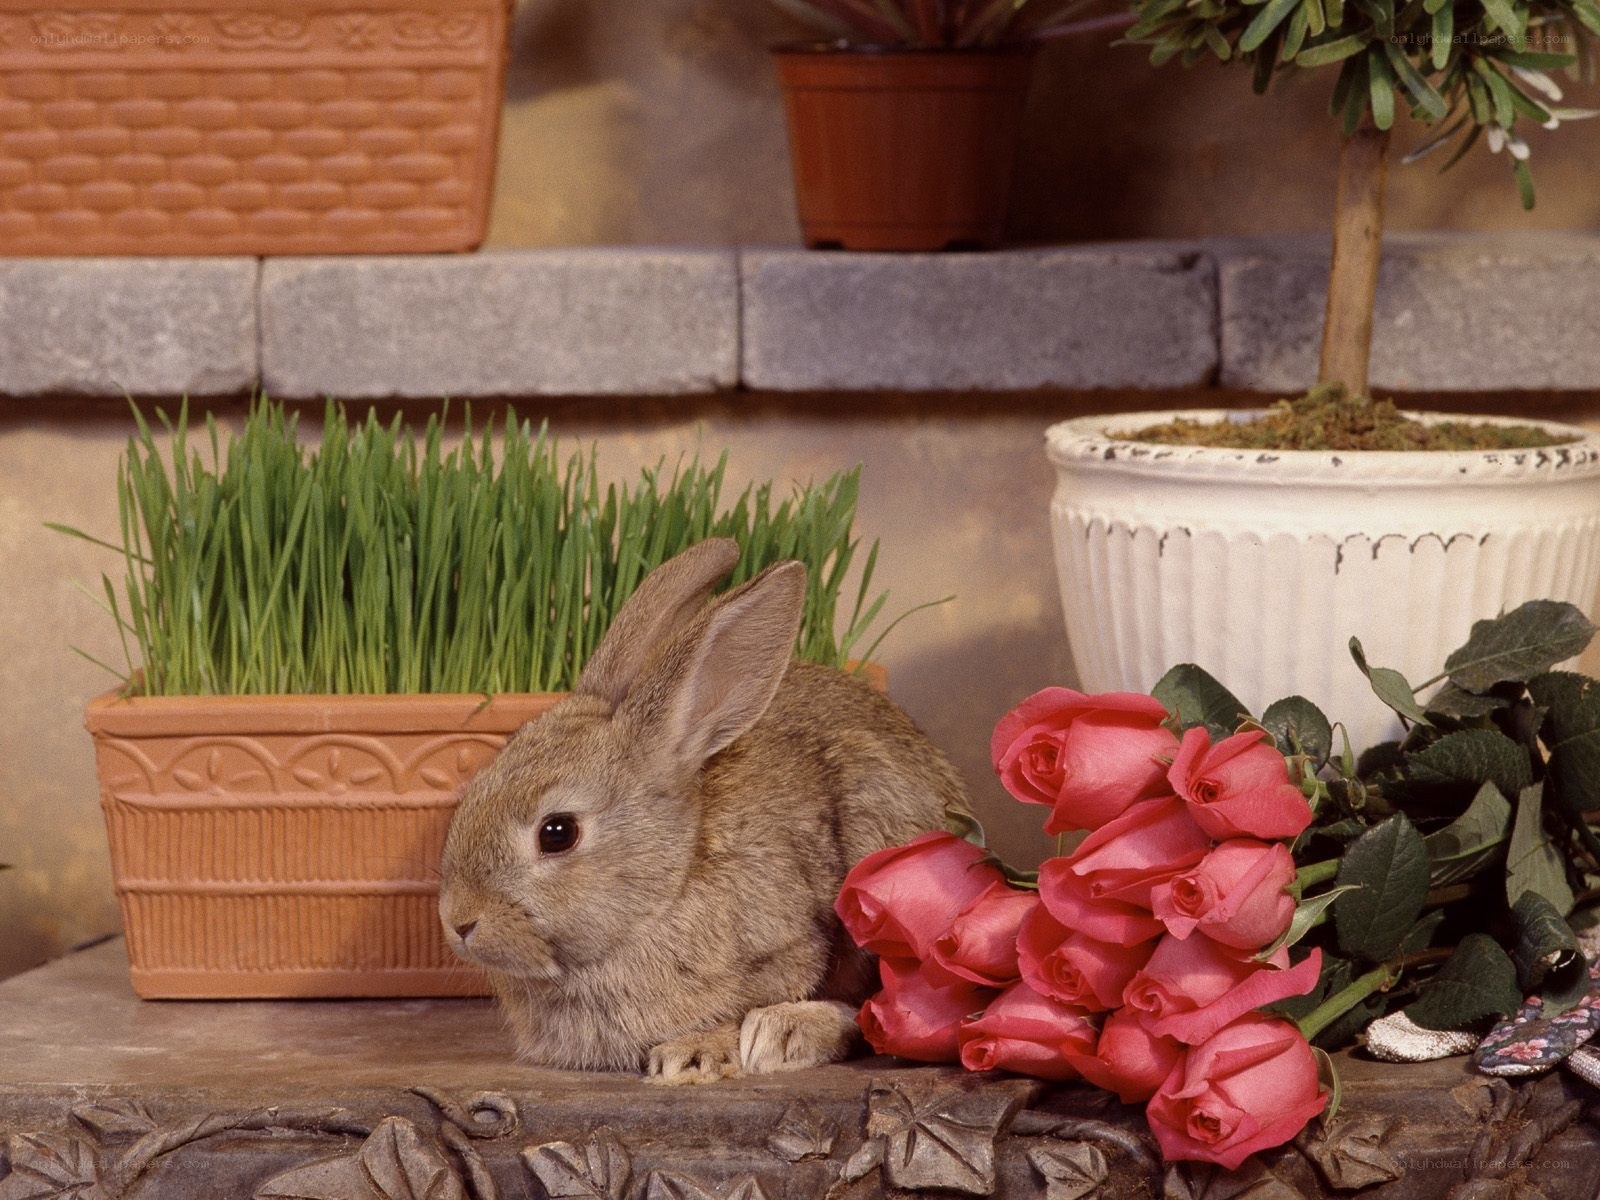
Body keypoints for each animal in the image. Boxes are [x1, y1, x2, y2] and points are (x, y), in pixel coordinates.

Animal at [437, 536, 970, 1084]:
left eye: (557, 832)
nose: (459, 922)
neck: (666, 888)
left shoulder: (790, 944)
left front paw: (692, 1054)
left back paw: (785, 1033)